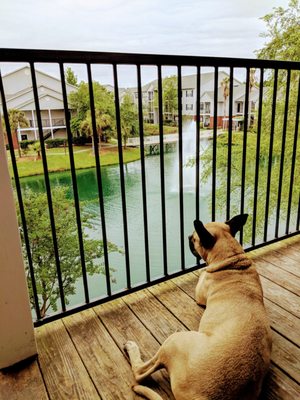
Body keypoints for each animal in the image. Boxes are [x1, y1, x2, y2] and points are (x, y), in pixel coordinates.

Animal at [124, 216, 272, 400]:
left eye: (194, 239)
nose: (188, 236)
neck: (232, 258)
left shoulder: (200, 293)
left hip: (174, 341)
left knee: (139, 373)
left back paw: (131, 348)